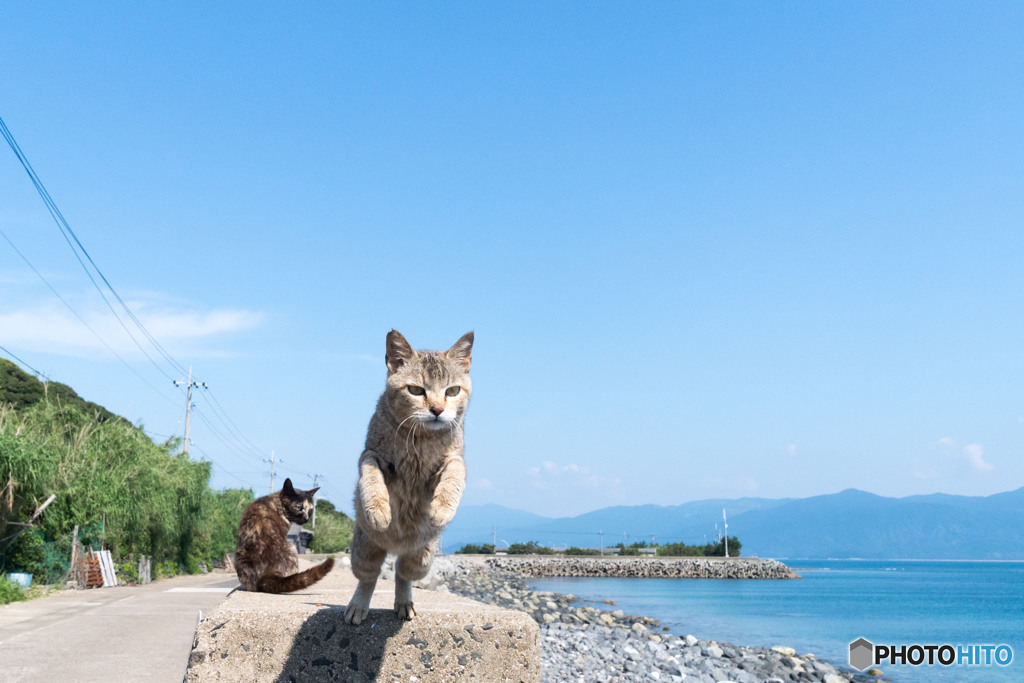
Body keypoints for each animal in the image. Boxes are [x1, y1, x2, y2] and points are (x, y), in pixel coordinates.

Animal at [344, 331, 471, 626]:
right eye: (416, 390)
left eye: (452, 391)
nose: (437, 409)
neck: (421, 438)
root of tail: (396, 546)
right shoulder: (372, 453)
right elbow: (370, 474)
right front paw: (378, 509)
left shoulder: (454, 458)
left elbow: (456, 473)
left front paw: (442, 508)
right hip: (364, 551)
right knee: (369, 577)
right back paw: (358, 606)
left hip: (421, 560)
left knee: (402, 572)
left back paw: (404, 603)